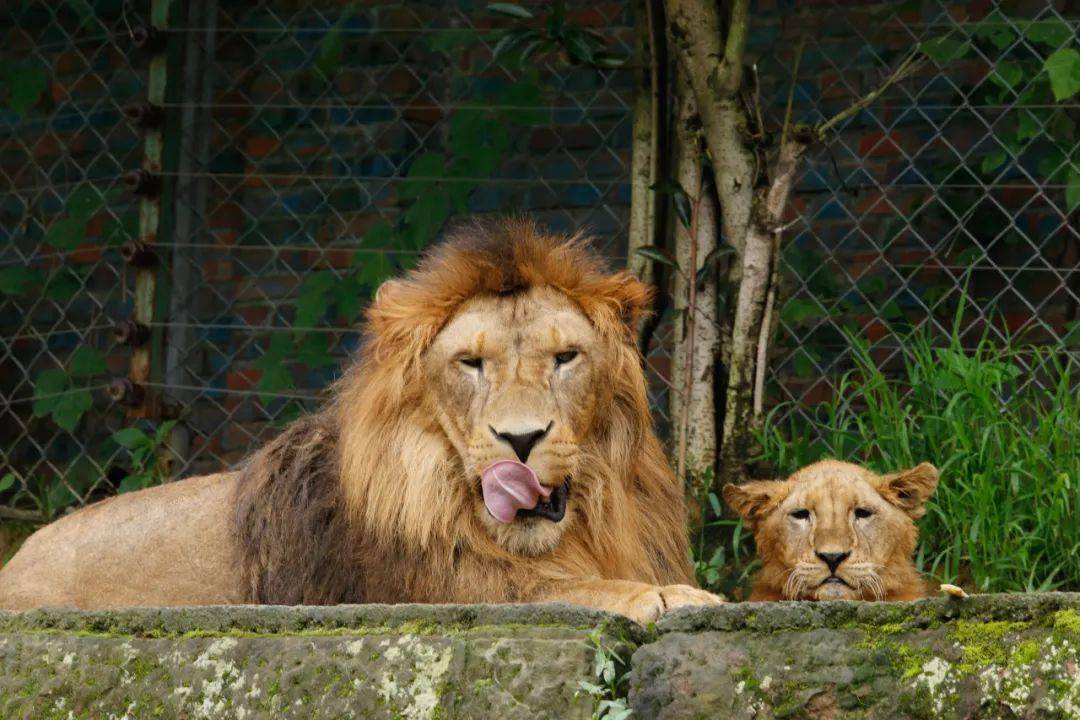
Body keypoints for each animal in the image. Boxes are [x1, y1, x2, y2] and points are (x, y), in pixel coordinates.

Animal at [4, 220, 725, 626]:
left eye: (565, 358)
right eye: (471, 363)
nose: (520, 440)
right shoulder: (440, 590)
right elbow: (579, 591)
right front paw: (676, 598)